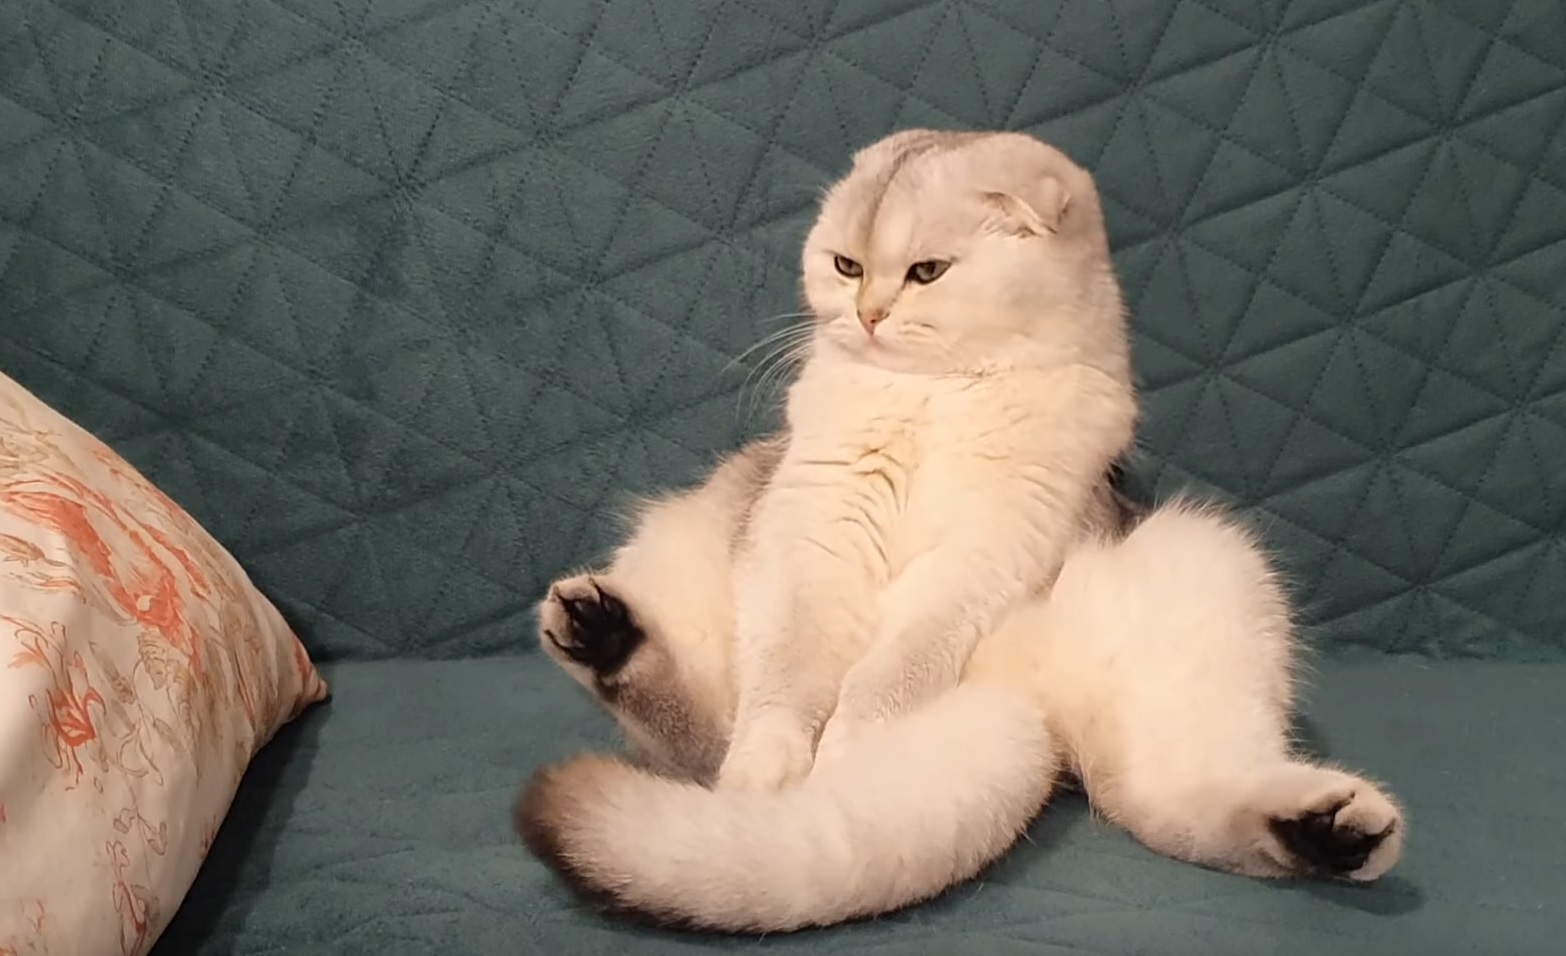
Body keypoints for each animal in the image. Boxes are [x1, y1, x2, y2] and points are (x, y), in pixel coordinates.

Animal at [516, 130, 1409, 927]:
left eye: (926, 272)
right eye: (845, 266)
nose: (870, 314)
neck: (937, 393)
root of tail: (1020, 704)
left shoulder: (984, 554)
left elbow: (884, 681)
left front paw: (849, 757)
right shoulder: (811, 547)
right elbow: (784, 693)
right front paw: (775, 768)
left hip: (1205, 576)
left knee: (1169, 801)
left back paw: (1332, 832)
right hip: (688, 562)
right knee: (698, 738)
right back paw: (606, 637)